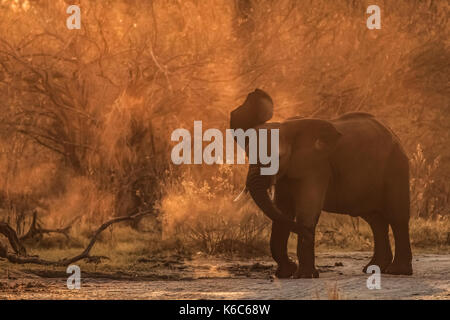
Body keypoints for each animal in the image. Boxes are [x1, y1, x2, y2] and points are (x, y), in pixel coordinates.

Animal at [230, 91, 414, 278]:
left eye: (278, 157)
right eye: (248, 156)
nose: (308, 234)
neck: (289, 129)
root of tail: (392, 133)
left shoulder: (316, 166)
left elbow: (307, 210)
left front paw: (304, 275)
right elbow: (282, 211)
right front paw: (285, 273)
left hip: (396, 166)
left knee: (397, 217)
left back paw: (397, 271)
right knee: (375, 220)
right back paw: (373, 268)